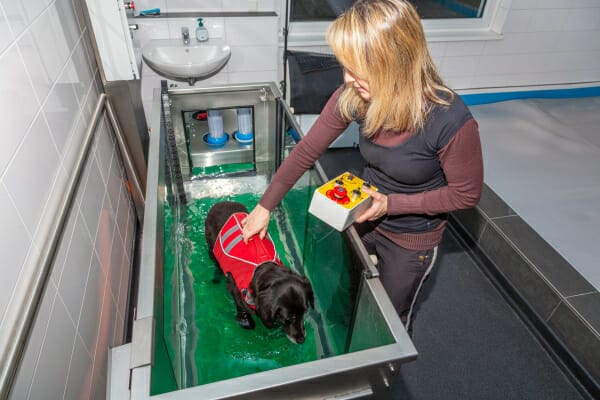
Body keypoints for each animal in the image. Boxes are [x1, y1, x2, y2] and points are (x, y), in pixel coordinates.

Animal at [205, 200, 314, 344]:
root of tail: (221, 202)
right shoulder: (233, 287)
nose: (301, 339)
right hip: (212, 249)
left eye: (304, 312)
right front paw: (245, 320)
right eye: (288, 319)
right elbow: (242, 308)